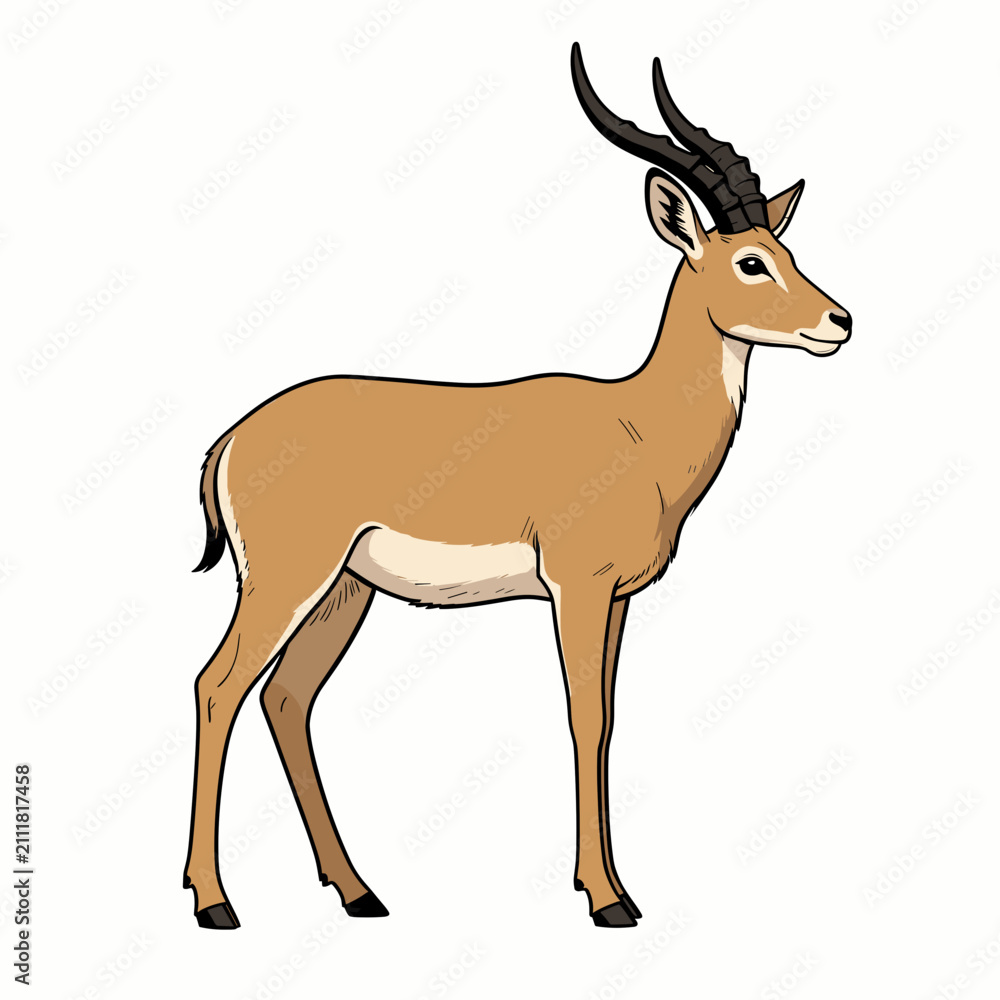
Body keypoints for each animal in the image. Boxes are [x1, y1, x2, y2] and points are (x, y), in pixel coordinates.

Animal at [184, 43, 851, 930]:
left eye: (788, 254)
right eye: (750, 261)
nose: (841, 321)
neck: (636, 429)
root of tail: (231, 438)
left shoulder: (617, 598)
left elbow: (608, 719)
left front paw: (604, 886)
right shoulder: (577, 588)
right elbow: (584, 718)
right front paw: (608, 899)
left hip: (344, 592)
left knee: (287, 699)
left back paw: (359, 893)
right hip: (287, 580)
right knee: (218, 686)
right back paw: (213, 902)